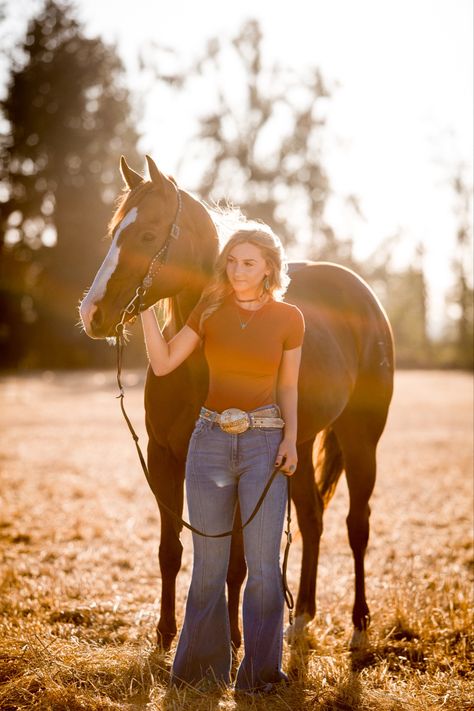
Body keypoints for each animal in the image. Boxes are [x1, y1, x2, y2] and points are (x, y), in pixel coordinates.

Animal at [79, 154, 394, 652]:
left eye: (147, 235)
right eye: (114, 233)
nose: (92, 314)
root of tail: (365, 298)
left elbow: (236, 563)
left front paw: (231, 639)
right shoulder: (164, 456)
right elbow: (170, 551)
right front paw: (165, 635)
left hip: (361, 440)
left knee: (356, 525)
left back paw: (359, 624)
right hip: (298, 447)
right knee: (312, 520)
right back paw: (301, 615)